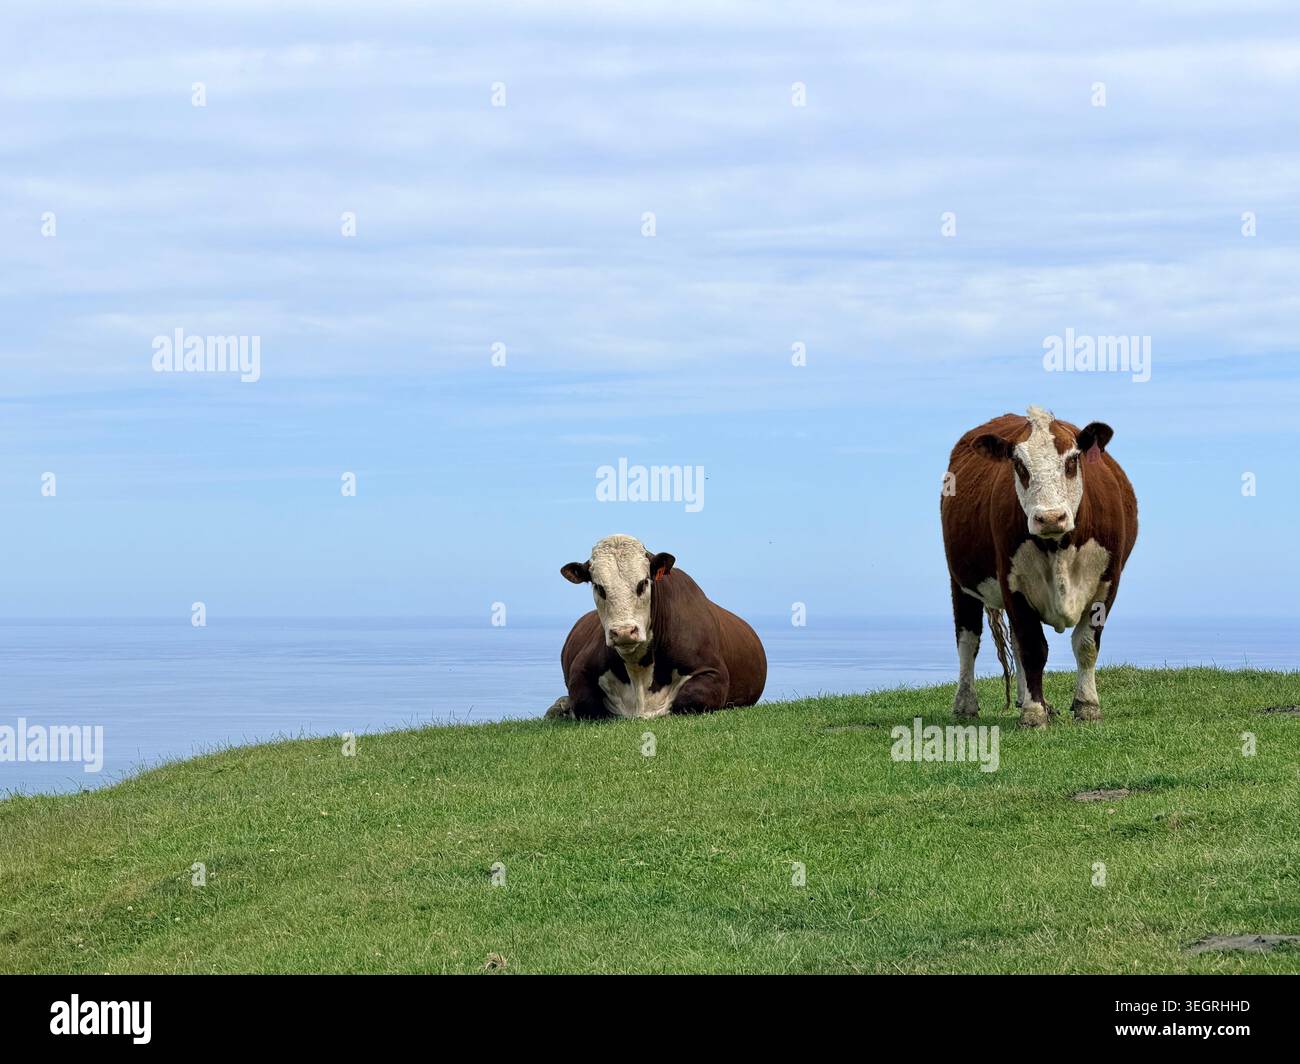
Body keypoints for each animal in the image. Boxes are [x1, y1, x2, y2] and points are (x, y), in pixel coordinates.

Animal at [547, 534, 767, 719]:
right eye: (599, 587)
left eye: (643, 582)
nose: (624, 632)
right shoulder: (580, 670)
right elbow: (584, 703)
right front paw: (564, 707)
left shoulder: (713, 672)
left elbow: (689, 699)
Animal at [940, 406, 1138, 728]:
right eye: (1019, 465)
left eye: (1072, 460)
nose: (1050, 517)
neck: (1057, 546)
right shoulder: (1013, 583)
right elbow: (1033, 647)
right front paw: (1033, 714)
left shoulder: (1107, 581)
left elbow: (1086, 644)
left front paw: (1087, 705)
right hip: (961, 581)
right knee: (968, 641)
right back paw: (966, 703)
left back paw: (1028, 699)